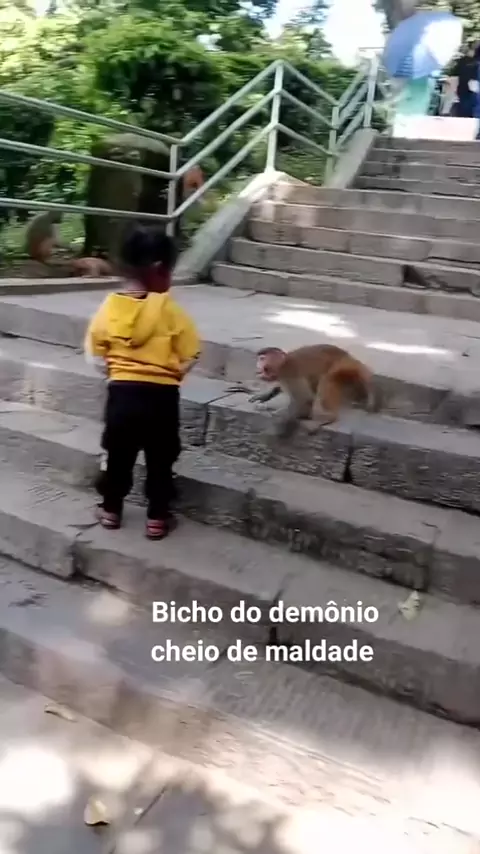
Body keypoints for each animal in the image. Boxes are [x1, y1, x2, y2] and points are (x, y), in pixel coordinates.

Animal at [251, 344, 379, 438]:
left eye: (262, 359)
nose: (257, 365)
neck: (283, 364)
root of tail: (348, 356)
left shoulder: (290, 371)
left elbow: (304, 398)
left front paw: (279, 422)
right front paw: (265, 396)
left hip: (343, 366)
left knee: (326, 380)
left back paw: (328, 417)